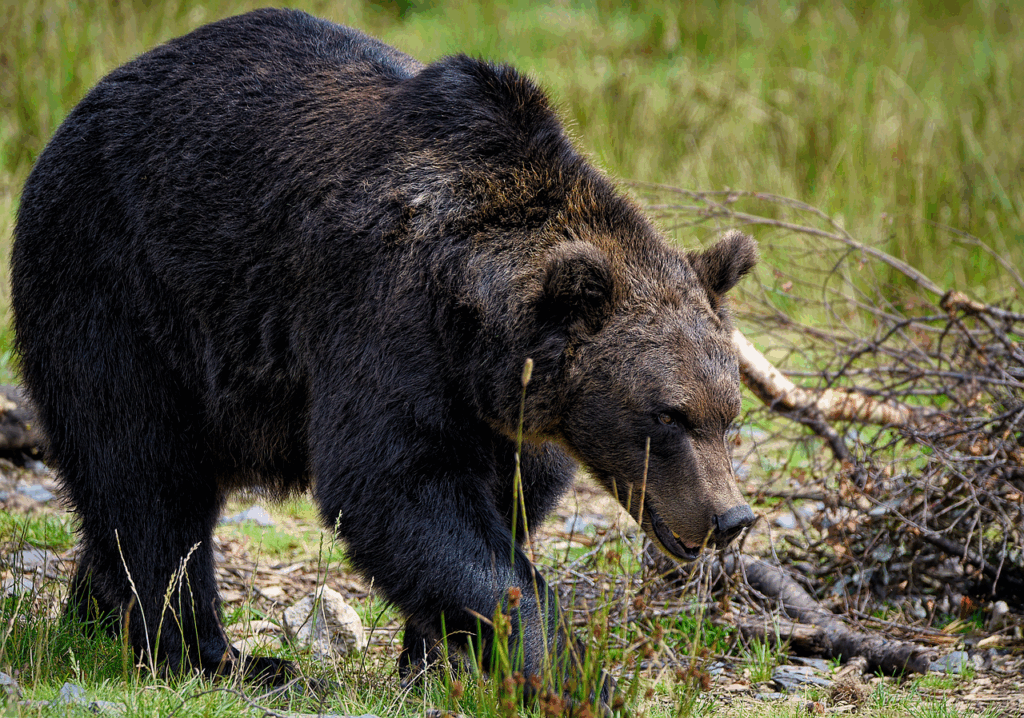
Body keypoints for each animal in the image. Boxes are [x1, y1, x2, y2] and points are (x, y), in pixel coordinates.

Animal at [11, 7, 756, 698]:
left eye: (728, 414)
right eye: (667, 415)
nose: (731, 517)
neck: (476, 322)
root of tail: (80, 110)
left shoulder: (499, 406)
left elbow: (509, 496)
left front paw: (440, 658)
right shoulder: (382, 313)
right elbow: (397, 486)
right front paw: (569, 672)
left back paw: (93, 615)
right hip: (119, 286)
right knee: (145, 469)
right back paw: (215, 655)